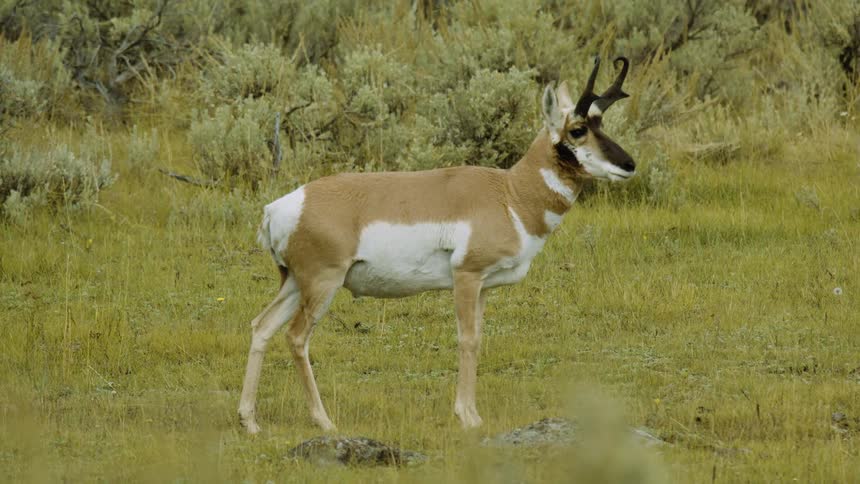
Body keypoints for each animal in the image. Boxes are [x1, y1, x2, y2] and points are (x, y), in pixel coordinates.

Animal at [238, 57, 635, 434]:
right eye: (578, 129)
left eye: (601, 124)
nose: (629, 165)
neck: (510, 194)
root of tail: (280, 207)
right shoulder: (466, 277)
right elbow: (467, 339)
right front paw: (467, 418)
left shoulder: (484, 287)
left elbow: (478, 339)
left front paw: (474, 414)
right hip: (323, 284)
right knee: (296, 337)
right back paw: (324, 421)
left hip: (294, 283)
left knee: (262, 326)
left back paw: (250, 421)